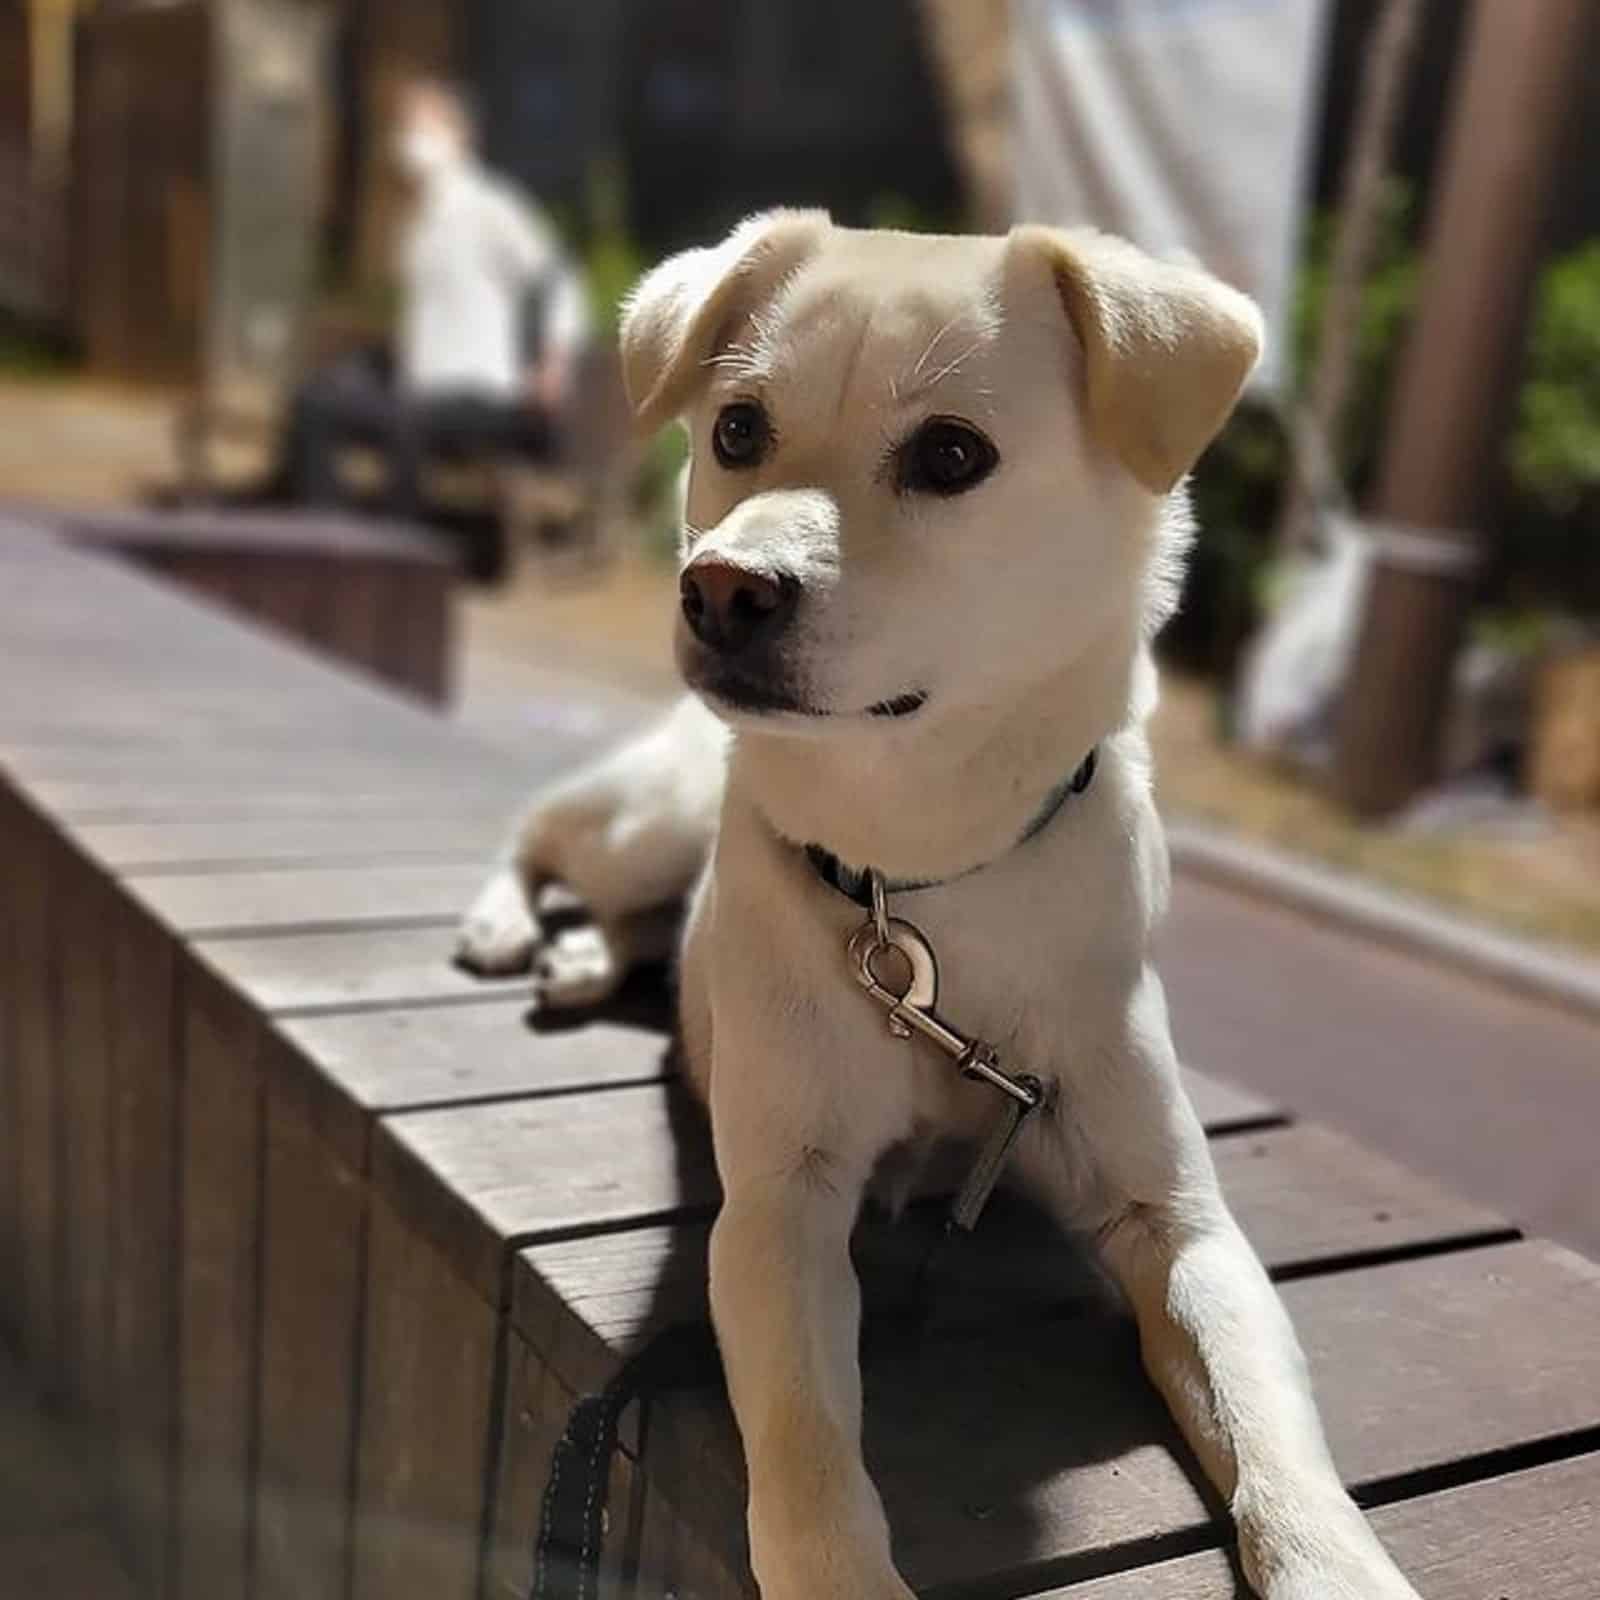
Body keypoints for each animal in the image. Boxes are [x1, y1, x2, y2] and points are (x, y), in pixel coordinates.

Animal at [464, 216, 1427, 1600]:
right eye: (738, 428)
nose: (720, 587)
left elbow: (1270, 1430)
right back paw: (509, 926)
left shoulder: (1179, 1225)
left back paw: (587, 960)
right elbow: (807, 1443)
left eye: (952, 455)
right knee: (544, 838)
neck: (916, 875)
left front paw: (1330, 1560)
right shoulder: (780, 1210)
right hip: (646, 818)